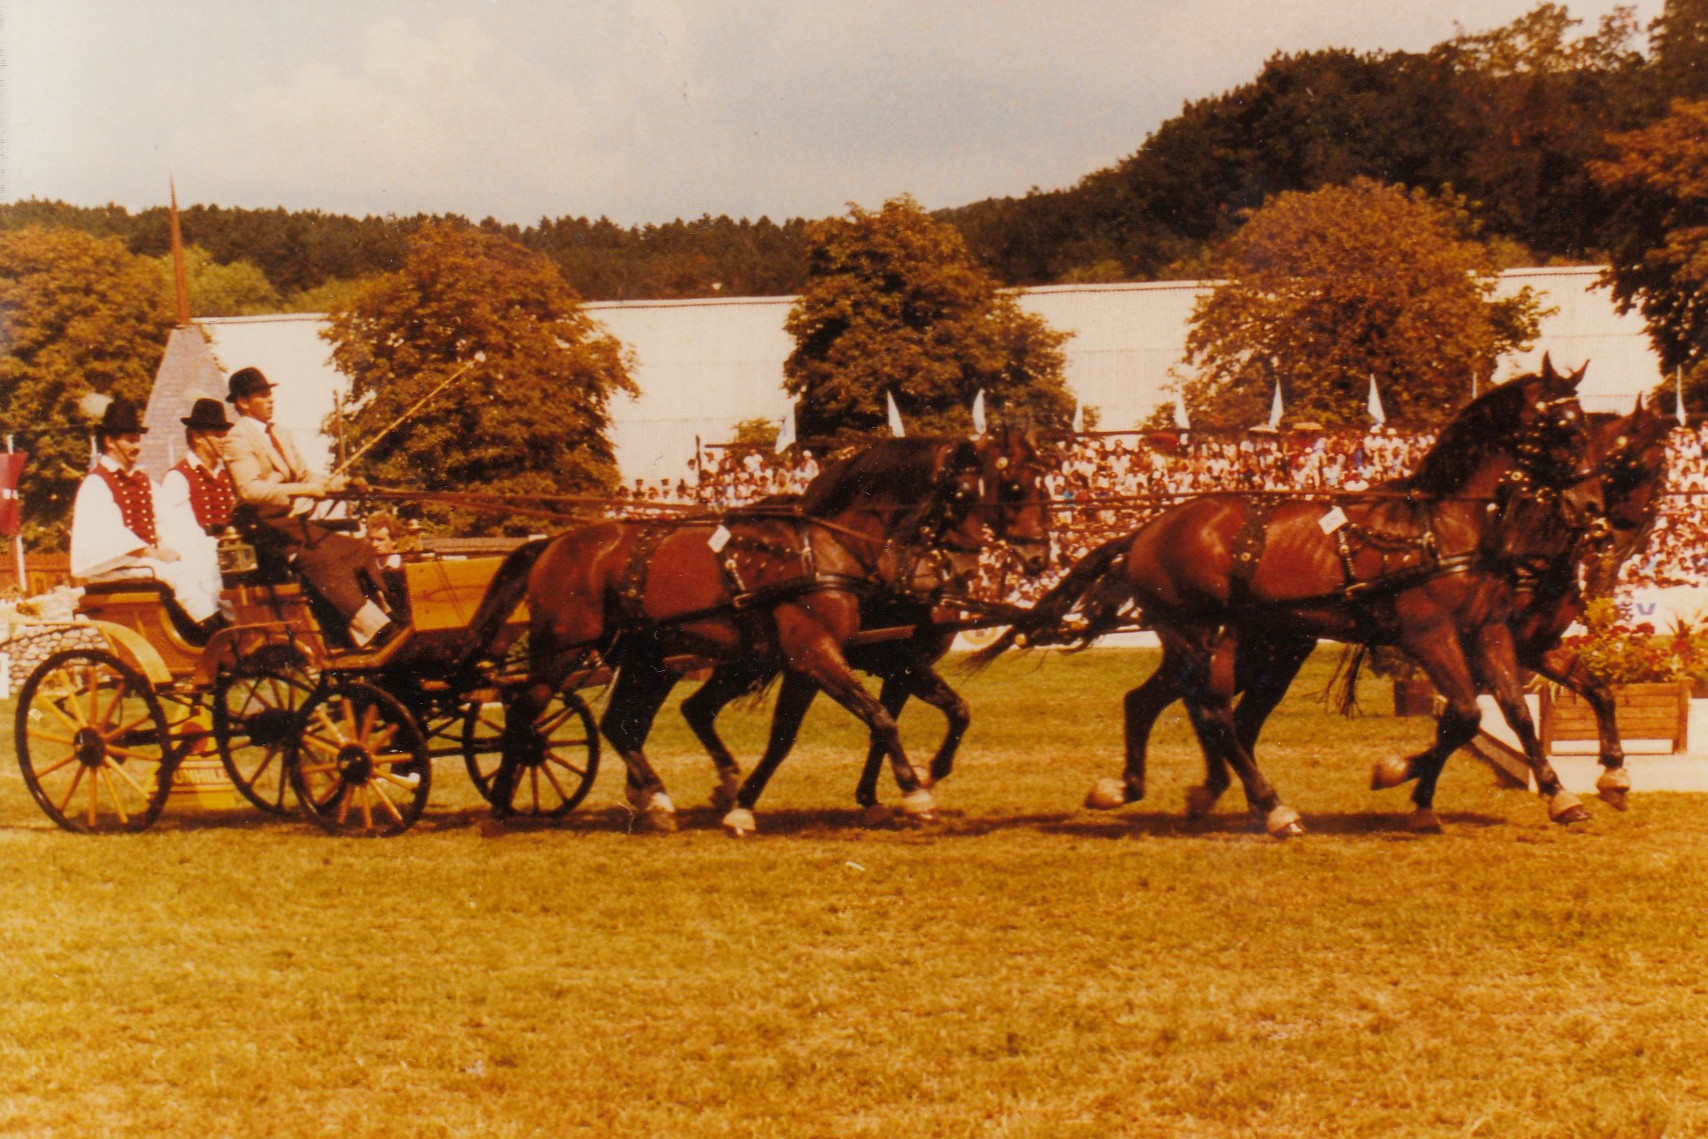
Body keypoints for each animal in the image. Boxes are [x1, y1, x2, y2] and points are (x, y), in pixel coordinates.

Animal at [461, 432, 1004, 833]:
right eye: (961, 496)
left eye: (990, 494)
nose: (963, 571)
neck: (821, 546)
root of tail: (554, 542)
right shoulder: (814, 654)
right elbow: (881, 719)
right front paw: (915, 793)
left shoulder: (844, 656)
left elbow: (930, 711)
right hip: (560, 650)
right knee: (526, 714)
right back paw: (501, 808)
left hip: (647, 659)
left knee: (619, 724)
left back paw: (658, 801)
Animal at [676, 423, 1052, 833]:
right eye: (1014, 488)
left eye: (1044, 486)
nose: (1039, 558)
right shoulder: (866, 662)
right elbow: (854, 727)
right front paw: (910, 791)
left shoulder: (901, 666)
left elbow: (950, 712)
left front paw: (903, 786)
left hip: (744, 666)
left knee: (696, 709)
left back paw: (718, 789)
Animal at [976, 365, 1598, 836]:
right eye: (1563, 428)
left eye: (1586, 426)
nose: (1591, 505)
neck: (1441, 524)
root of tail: (1147, 530)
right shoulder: (1430, 635)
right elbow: (1467, 715)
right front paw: (1393, 771)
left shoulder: (1487, 631)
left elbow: (1515, 712)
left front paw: (1561, 795)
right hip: (1200, 637)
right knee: (1215, 715)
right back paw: (1273, 807)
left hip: (1240, 646)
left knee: (1156, 703)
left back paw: (1139, 787)